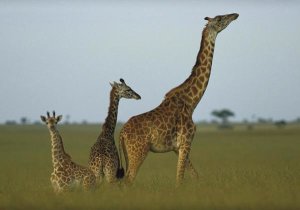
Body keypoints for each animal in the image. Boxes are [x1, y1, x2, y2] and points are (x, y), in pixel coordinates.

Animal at [119, 12, 239, 185]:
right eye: (220, 19)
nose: (235, 15)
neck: (192, 102)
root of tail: (121, 133)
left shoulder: (177, 148)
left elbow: (195, 175)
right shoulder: (186, 142)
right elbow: (180, 179)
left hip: (128, 154)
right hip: (138, 152)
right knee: (128, 180)